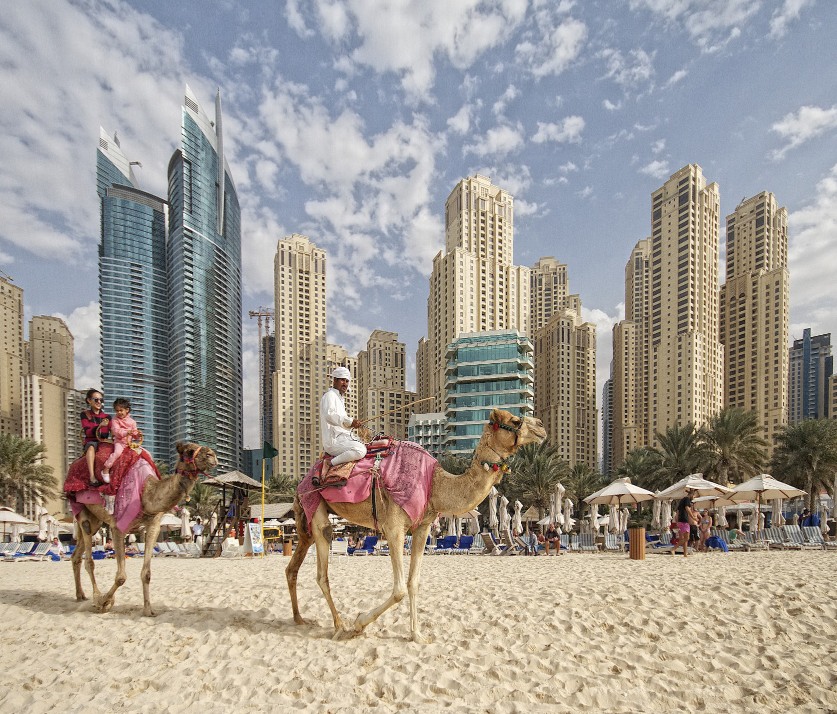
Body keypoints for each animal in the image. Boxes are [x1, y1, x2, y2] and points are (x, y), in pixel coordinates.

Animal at [71, 440, 217, 612]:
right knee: (89, 560)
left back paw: (80, 595)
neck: (147, 493)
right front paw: (105, 601)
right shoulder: (117, 527)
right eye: (189, 451)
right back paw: (95, 598)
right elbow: (121, 577)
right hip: (83, 511)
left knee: (76, 555)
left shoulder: (154, 525)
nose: (212, 455)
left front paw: (148, 610)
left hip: (95, 520)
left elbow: (146, 573)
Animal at [288, 404, 548, 644]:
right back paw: (341, 626)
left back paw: (300, 619)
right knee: (322, 573)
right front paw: (359, 622)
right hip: (317, 510)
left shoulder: (422, 527)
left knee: (293, 567)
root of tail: (303, 482)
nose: (542, 427)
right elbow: (399, 589)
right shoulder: (393, 528)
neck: (435, 484)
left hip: (306, 524)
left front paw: (417, 634)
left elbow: (413, 583)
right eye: (515, 421)